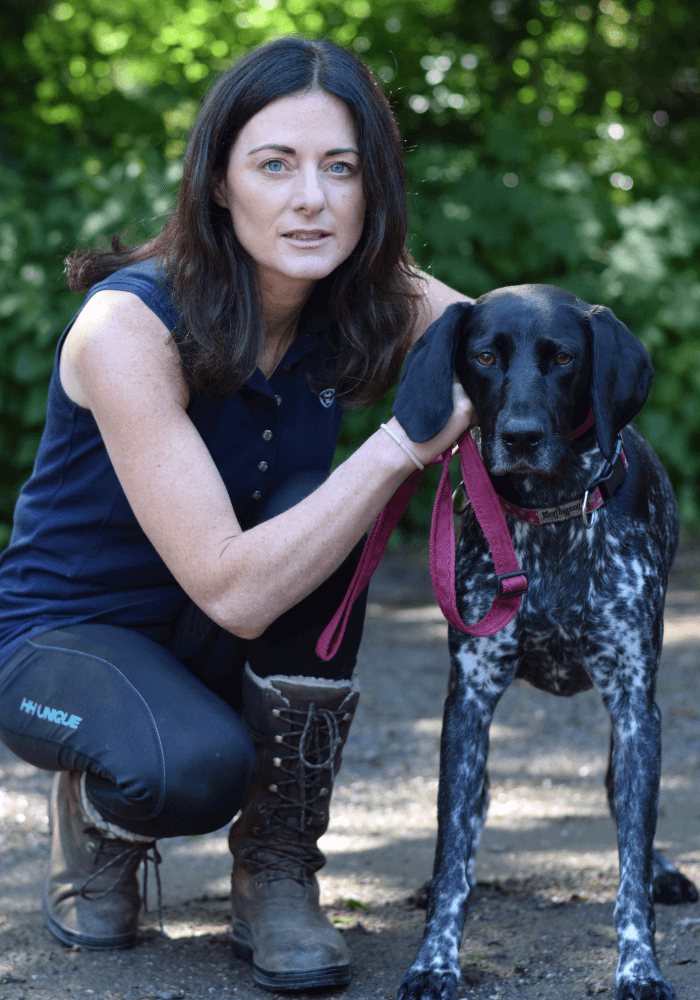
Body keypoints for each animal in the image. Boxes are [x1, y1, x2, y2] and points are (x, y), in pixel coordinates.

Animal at [392, 286, 696, 996]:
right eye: (483, 356)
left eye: (562, 358)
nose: (522, 437)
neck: (552, 514)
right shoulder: (468, 701)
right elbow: (453, 848)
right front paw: (433, 959)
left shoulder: (634, 702)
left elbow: (631, 862)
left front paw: (639, 966)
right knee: (471, 815)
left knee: (622, 800)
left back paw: (665, 871)